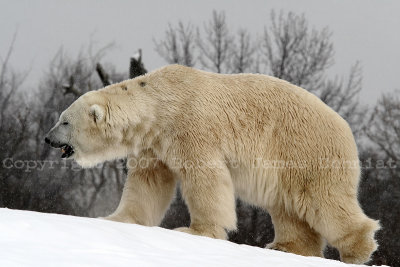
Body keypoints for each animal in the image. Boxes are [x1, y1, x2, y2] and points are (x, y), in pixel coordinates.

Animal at [45, 64, 380, 264]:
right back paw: (287, 247)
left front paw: (195, 231)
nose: (47, 138)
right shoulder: (155, 143)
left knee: (322, 199)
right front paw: (115, 219)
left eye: (64, 121)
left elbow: (205, 177)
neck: (159, 105)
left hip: (304, 150)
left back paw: (358, 249)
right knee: (288, 209)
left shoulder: (191, 127)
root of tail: (346, 129)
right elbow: (148, 184)